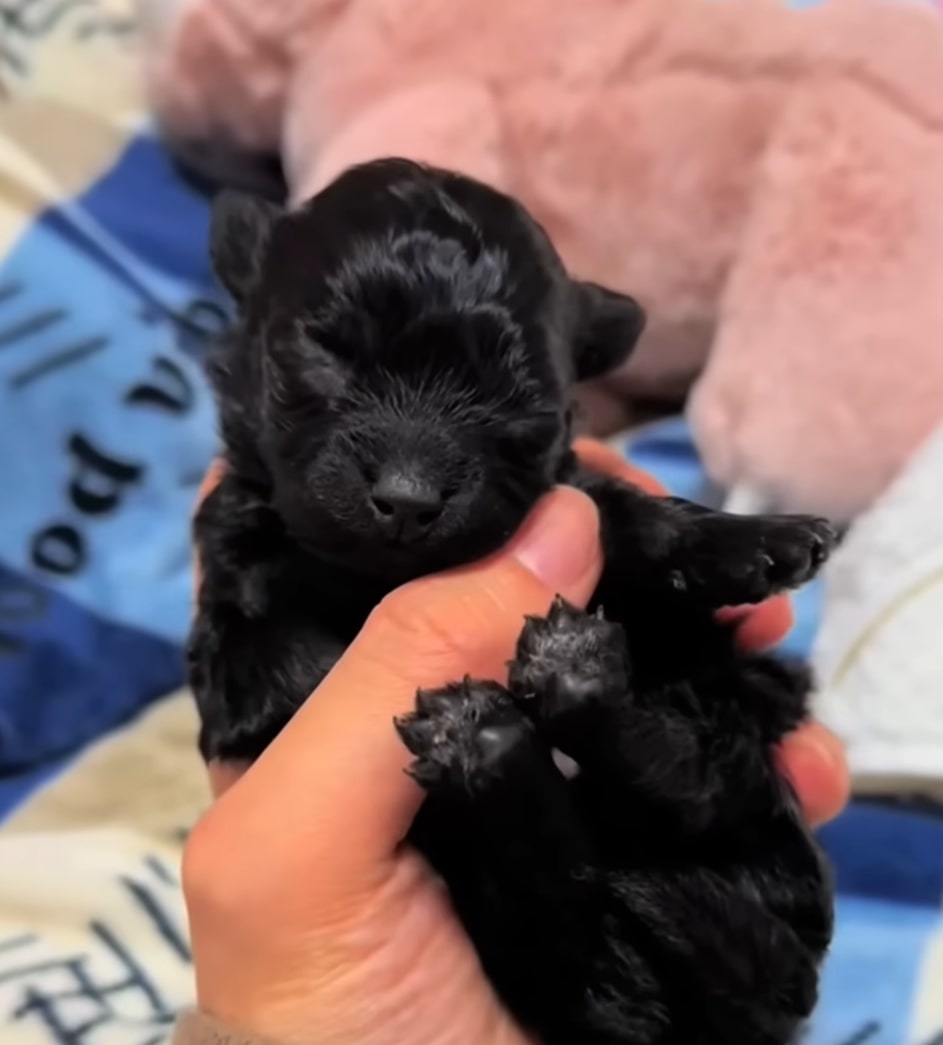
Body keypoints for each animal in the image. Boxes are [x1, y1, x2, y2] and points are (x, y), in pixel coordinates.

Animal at [190, 156, 836, 1045]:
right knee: (570, 892)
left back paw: (563, 689)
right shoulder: (236, 619)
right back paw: (490, 739)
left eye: (516, 398)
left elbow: (612, 510)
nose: (407, 498)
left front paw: (746, 540)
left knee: (687, 787)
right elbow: (285, 656)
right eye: (324, 352)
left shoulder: (579, 505)